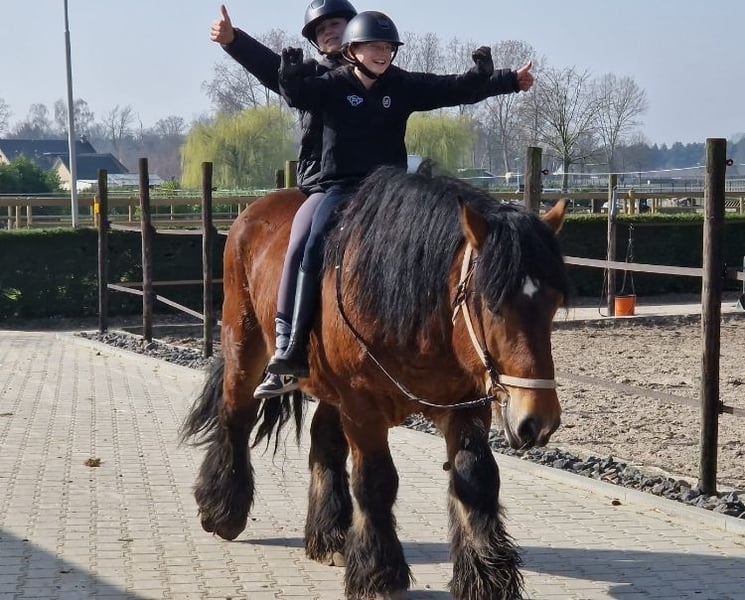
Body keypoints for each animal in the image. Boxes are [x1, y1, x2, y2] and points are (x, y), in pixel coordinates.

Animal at [180, 165, 570, 600]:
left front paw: (486, 579)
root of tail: (250, 213)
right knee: (236, 417)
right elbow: (375, 481)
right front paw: (379, 575)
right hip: (244, 346)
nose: (537, 421)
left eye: (554, 303)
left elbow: (476, 477)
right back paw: (222, 510)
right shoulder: (362, 406)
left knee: (324, 442)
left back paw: (330, 536)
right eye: (491, 304)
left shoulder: (465, 405)